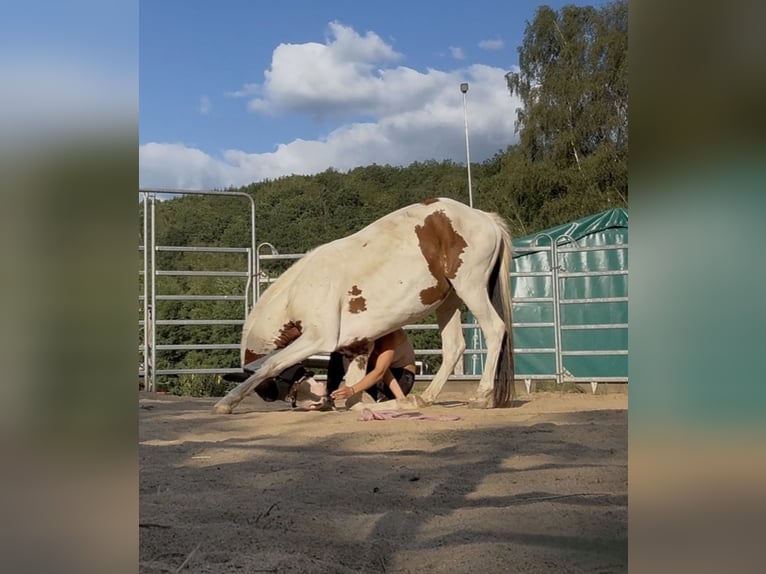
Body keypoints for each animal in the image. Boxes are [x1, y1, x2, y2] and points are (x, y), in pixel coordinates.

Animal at [213, 197, 514, 414]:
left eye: (272, 389)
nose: (314, 399)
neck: (299, 290)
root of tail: (484, 217)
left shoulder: (317, 338)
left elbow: (272, 363)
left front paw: (227, 403)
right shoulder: (355, 347)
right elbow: (353, 394)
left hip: (470, 288)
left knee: (495, 330)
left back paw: (482, 396)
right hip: (449, 302)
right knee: (453, 347)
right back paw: (422, 399)